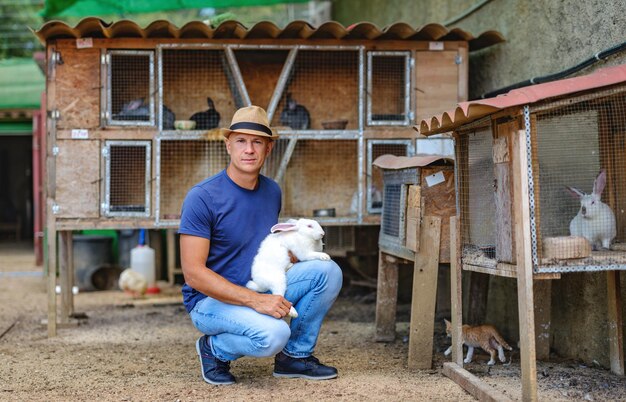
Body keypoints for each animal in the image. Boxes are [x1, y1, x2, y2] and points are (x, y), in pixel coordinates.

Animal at [420, 62, 624, 402]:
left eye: (594, 201)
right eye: (582, 203)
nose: (583, 211)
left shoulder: (606, 231)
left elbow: (604, 242)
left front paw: (603, 250)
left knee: (494, 349)